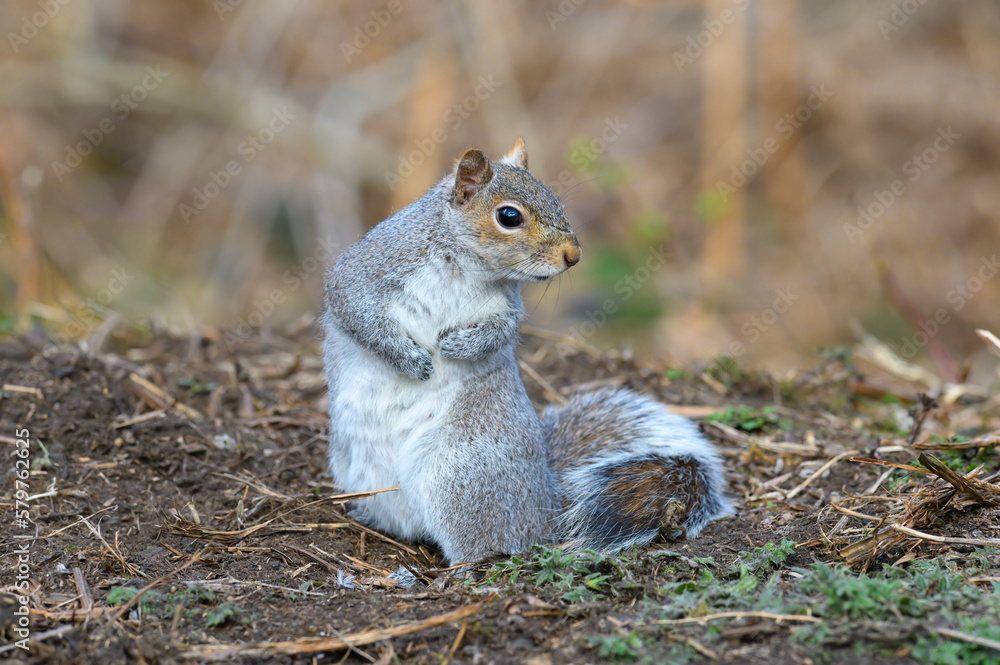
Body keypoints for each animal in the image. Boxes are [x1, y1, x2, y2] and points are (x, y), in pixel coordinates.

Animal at [322, 139, 732, 564]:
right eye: (509, 216)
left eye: (557, 201)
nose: (574, 256)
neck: (464, 264)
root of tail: (548, 506)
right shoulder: (367, 270)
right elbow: (355, 311)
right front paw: (411, 359)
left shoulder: (506, 308)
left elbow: (498, 334)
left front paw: (458, 345)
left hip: (461, 476)